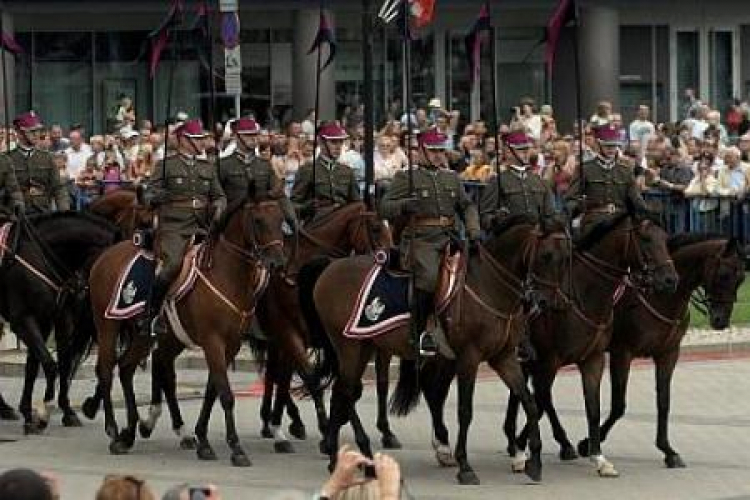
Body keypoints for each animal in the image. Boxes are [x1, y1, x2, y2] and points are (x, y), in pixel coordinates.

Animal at [0, 211, 119, 430]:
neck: (40, 255)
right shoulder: (23, 320)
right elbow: (49, 364)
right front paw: (41, 411)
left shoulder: (53, 319)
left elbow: (47, 365)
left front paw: (63, 411)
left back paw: (4, 408)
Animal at [88, 196, 286, 464]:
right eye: (257, 220)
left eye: (281, 219)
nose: (278, 263)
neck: (226, 273)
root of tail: (106, 255)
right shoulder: (213, 342)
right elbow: (226, 394)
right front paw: (236, 448)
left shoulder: (231, 346)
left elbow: (212, 391)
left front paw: (202, 439)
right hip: (107, 326)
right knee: (107, 370)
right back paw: (113, 428)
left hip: (147, 336)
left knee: (126, 368)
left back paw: (129, 433)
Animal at [300, 217, 568, 486]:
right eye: (545, 256)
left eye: (566, 257)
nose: (546, 302)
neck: (489, 286)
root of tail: (331, 266)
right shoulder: (469, 358)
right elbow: (465, 411)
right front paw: (465, 466)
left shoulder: (503, 357)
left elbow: (529, 402)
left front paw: (534, 462)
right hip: (350, 347)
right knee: (346, 392)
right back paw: (359, 457)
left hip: (363, 346)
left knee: (342, 393)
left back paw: (341, 459)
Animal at [506, 213, 680, 478]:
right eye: (645, 239)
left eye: (666, 239)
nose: (670, 280)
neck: (583, 295)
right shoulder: (553, 360)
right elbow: (541, 400)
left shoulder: (594, 359)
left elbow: (593, 407)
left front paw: (598, 457)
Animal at [548, 234, 748, 468]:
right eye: (724, 275)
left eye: (741, 278)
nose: (721, 320)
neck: (659, 296)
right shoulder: (622, 353)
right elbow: (618, 405)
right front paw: (588, 442)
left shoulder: (668, 354)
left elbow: (663, 401)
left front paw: (668, 450)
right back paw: (564, 443)